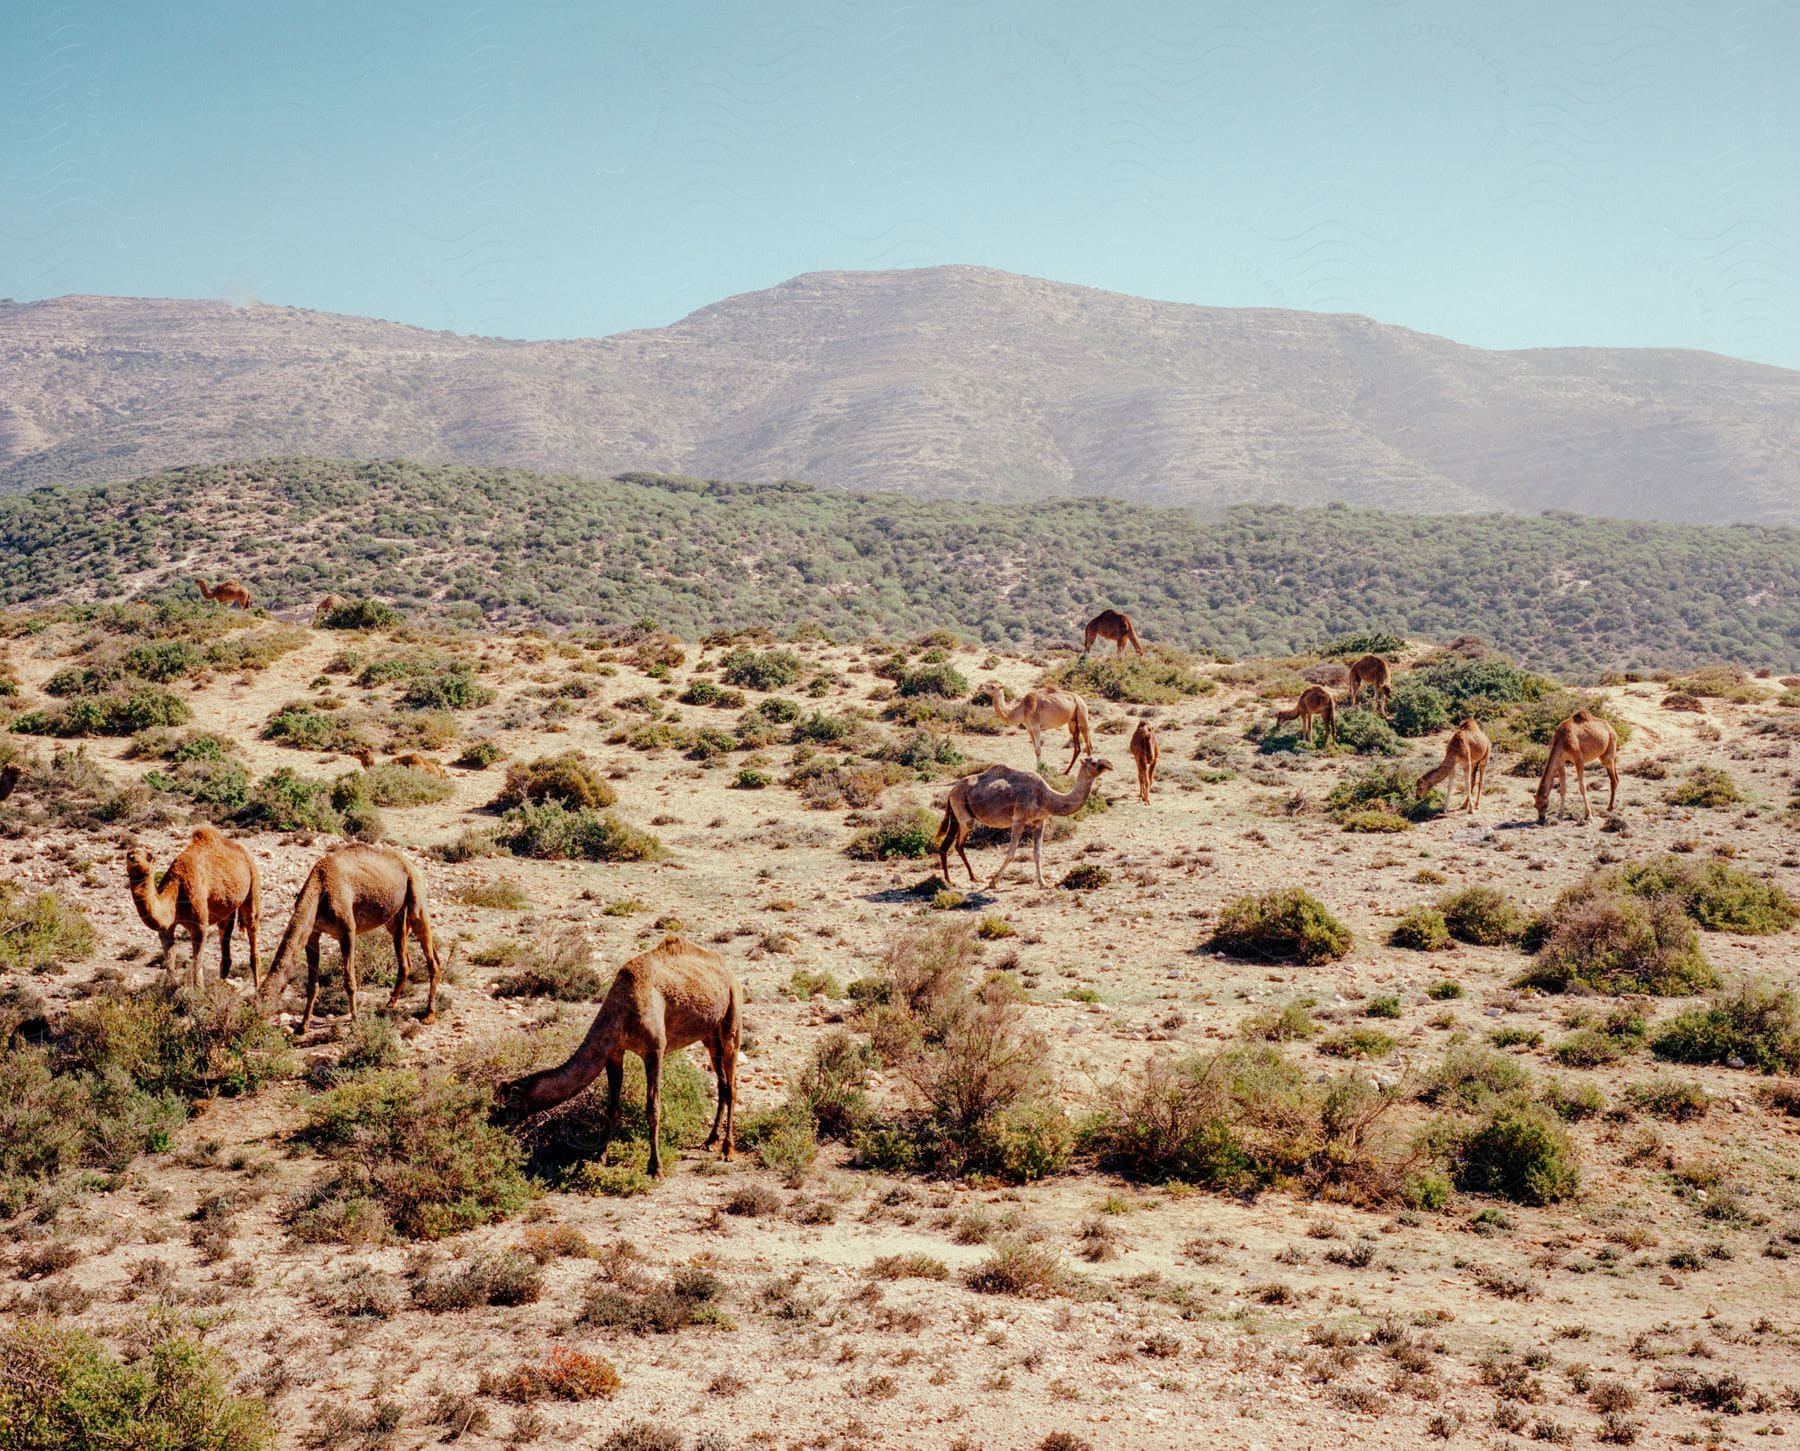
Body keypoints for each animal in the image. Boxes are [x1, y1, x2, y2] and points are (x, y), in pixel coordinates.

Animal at [125, 828, 261, 986]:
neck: (176, 892)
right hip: (227, 908)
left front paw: (198, 991)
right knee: (225, 944)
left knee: (252, 931)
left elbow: (197, 964)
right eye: (128, 854)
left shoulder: (199, 925)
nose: (133, 856)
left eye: (149, 856)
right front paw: (169, 988)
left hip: (253, 884)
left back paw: (258, 990)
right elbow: (170, 959)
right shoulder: (166, 928)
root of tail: (243, 852)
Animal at [257, 842, 442, 1036]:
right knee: (406, 961)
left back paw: (429, 1014)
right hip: (394, 917)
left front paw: (355, 1020)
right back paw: (390, 1004)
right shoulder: (313, 933)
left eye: (266, 1002)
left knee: (432, 958)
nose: (254, 1023)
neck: (319, 889)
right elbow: (312, 985)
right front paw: (303, 1026)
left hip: (416, 899)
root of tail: (412, 865)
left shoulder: (347, 931)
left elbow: (349, 981)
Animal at [493, 943, 738, 1180]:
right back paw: (710, 1140)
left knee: (732, 1084)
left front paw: (655, 1168)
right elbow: (611, 1108)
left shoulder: (654, 1051)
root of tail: (725, 967)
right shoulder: (614, 1053)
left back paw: (727, 1149)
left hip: (732, 1016)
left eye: (509, 1104)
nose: (493, 1122)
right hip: (710, 1035)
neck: (622, 1010)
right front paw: (600, 1157)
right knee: (722, 1083)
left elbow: (653, 1109)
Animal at [943, 756, 1108, 892]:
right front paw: (993, 882)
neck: (1047, 798)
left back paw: (966, 878)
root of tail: (951, 791)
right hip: (963, 813)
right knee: (957, 843)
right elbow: (1011, 853)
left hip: (957, 816)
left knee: (951, 845)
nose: (1109, 765)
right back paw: (952, 881)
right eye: (1094, 763)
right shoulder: (1018, 820)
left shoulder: (1040, 821)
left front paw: (1043, 883)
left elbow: (1037, 853)